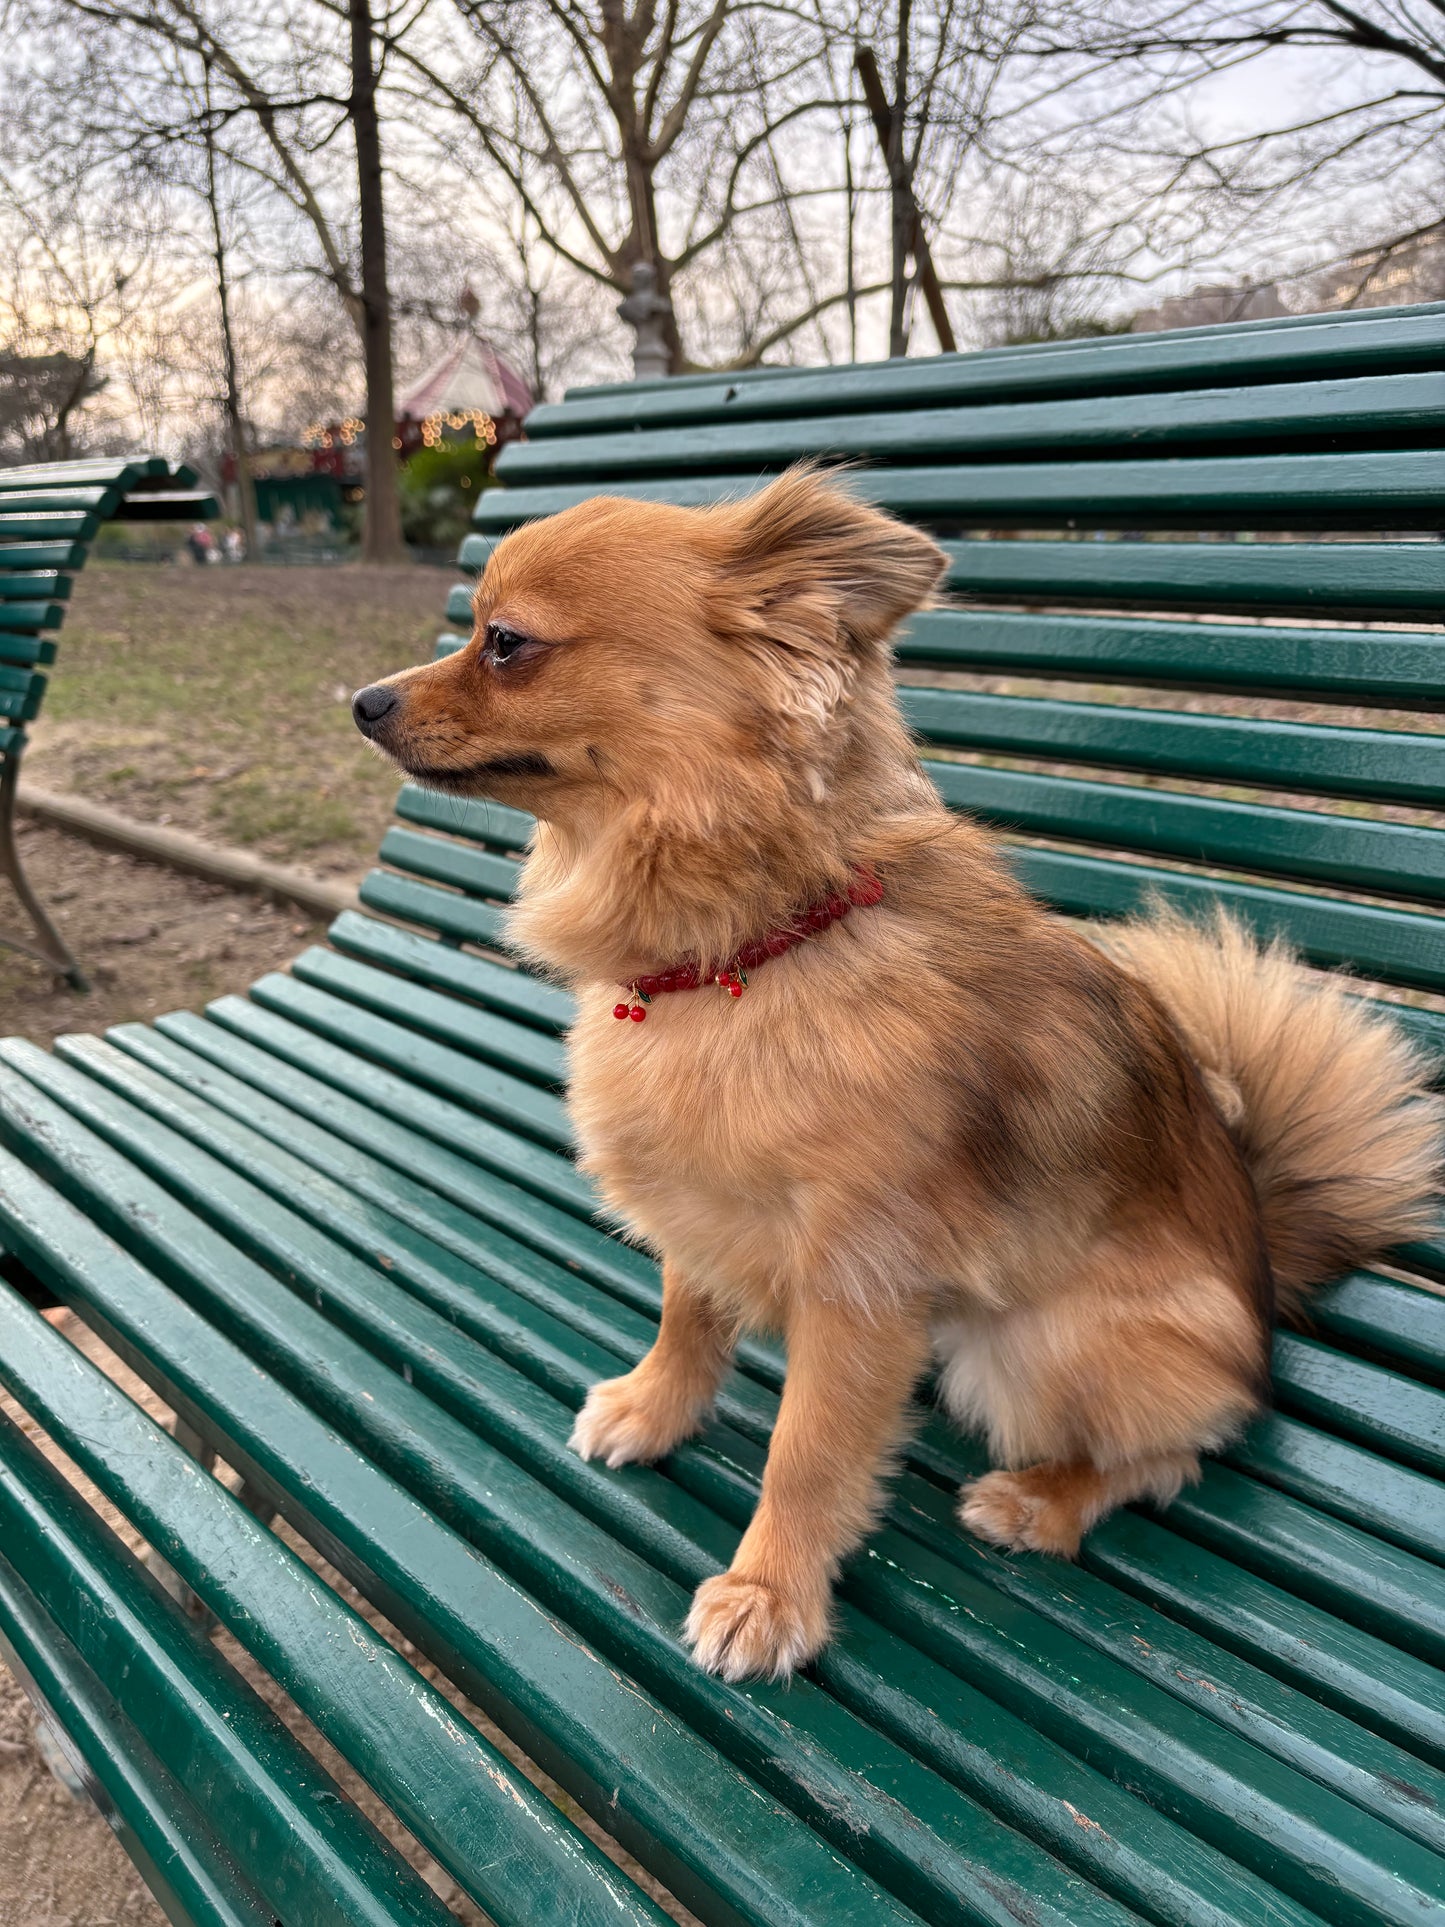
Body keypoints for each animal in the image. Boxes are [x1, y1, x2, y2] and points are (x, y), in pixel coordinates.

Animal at [354, 470, 1445, 1688]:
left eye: (504, 642)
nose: (364, 701)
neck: (753, 944)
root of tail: (1262, 1269)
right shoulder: (702, 1206)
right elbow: (685, 1314)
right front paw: (654, 1408)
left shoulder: (856, 1278)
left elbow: (807, 1450)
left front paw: (768, 1594)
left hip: (1037, 1350)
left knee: (1174, 1452)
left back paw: (1042, 1499)